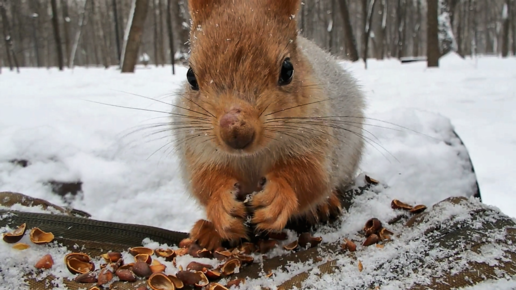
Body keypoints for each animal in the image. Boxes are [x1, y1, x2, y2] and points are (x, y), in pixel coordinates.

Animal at [171, 0, 364, 250]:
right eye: (190, 76)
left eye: (288, 70)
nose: (236, 132)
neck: (251, 157)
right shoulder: (198, 149)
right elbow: (204, 181)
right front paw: (221, 206)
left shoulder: (317, 139)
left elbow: (311, 176)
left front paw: (278, 195)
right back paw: (207, 231)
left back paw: (324, 205)